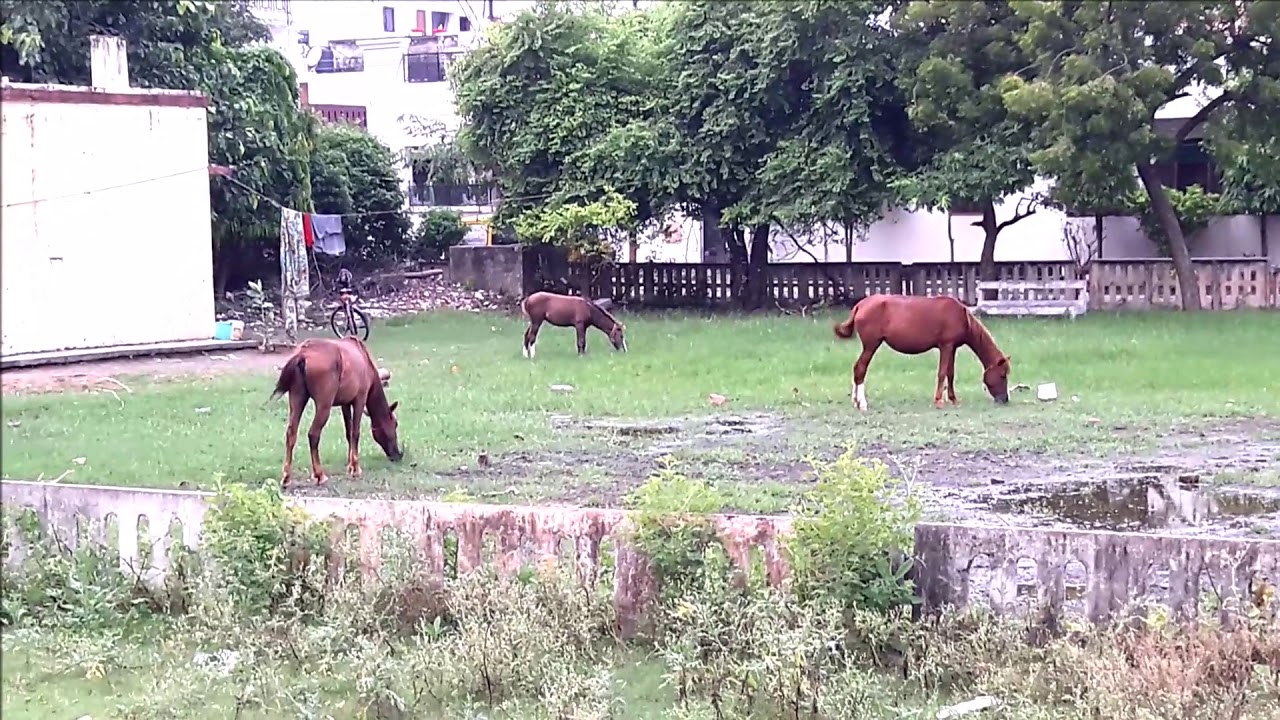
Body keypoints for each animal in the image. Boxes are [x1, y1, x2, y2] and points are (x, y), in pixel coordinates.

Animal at [270, 336, 403, 486]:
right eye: (395, 424)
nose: (397, 455)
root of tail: (302, 355)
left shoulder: (345, 403)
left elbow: (348, 433)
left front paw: (350, 465)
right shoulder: (360, 398)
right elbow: (355, 433)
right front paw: (355, 468)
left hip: (297, 398)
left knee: (291, 433)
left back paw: (286, 477)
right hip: (324, 404)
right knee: (313, 434)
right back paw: (320, 475)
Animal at [833, 295, 1011, 411]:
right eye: (1002, 375)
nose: (1004, 400)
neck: (962, 316)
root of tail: (860, 305)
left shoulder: (952, 348)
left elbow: (950, 373)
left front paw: (953, 399)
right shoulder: (946, 346)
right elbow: (942, 373)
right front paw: (939, 401)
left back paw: (855, 401)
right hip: (870, 345)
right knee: (860, 369)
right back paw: (862, 403)